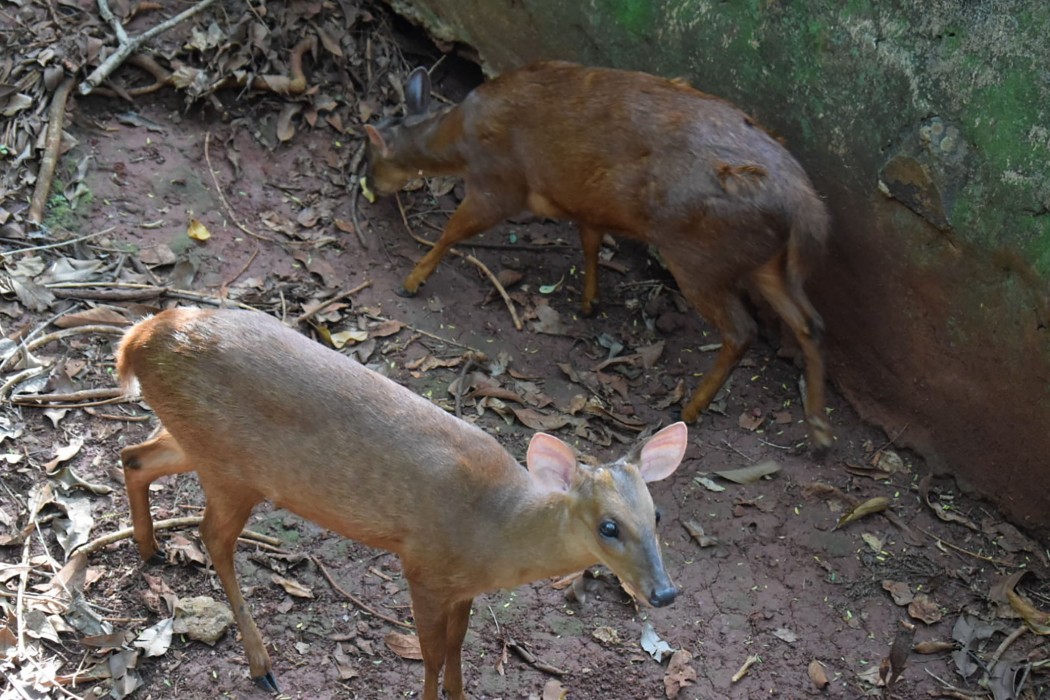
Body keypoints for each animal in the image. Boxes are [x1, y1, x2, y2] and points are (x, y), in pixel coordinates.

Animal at [117, 308, 688, 696]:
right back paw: (262, 667)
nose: (664, 593)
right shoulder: (424, 567)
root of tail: (137, 337)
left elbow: (457, 646)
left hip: (201, 445)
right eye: (608, 527)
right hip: (230, 467)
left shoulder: (461, 587)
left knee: (134, 456)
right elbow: (431, 654)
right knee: (212, 535)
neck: (495, 531)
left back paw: (149, 548)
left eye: (657, 514)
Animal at [365, 61, 831, 449]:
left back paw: (691, 408)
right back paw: (820, 431)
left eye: (374, 155)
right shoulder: (586, 204)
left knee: (742, 329)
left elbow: (452, 231)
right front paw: (589, 302)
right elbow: (589, 243)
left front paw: (412, 280)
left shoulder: (499, 184)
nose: (368, 184)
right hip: (766, 261)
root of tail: (802, 203)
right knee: (810, 322)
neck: (460, 139)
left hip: (697, 255)